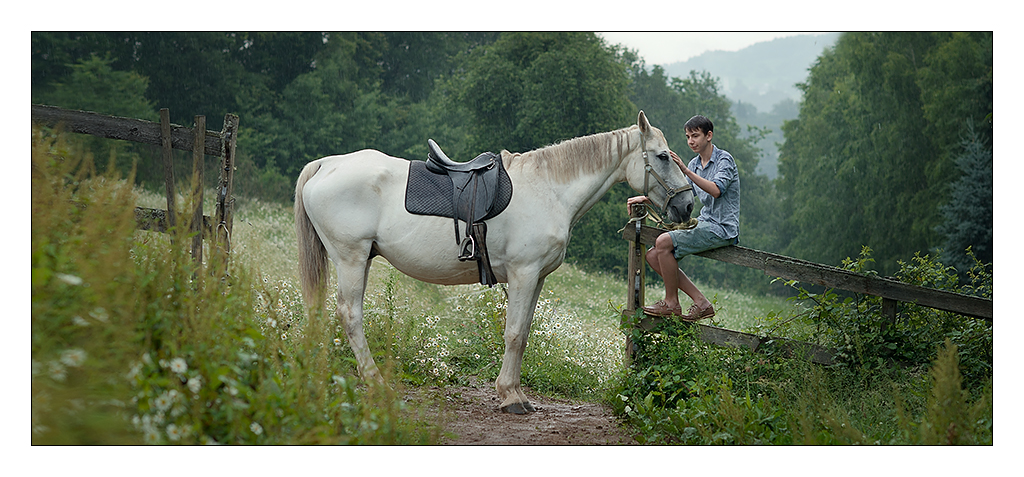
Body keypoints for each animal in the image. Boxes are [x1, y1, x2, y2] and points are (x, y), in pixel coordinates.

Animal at [296, 110, 696, 411]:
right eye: (662, 156)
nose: (687, 205)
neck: (550, 189)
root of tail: (326, 165)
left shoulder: (537, 278)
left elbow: (525, 333)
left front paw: (516, 393)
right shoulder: (523, 274)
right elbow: (514, 334)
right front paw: (510, 398)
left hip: (359, 259)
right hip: (350, 258)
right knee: (351, 316)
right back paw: (376, 382)